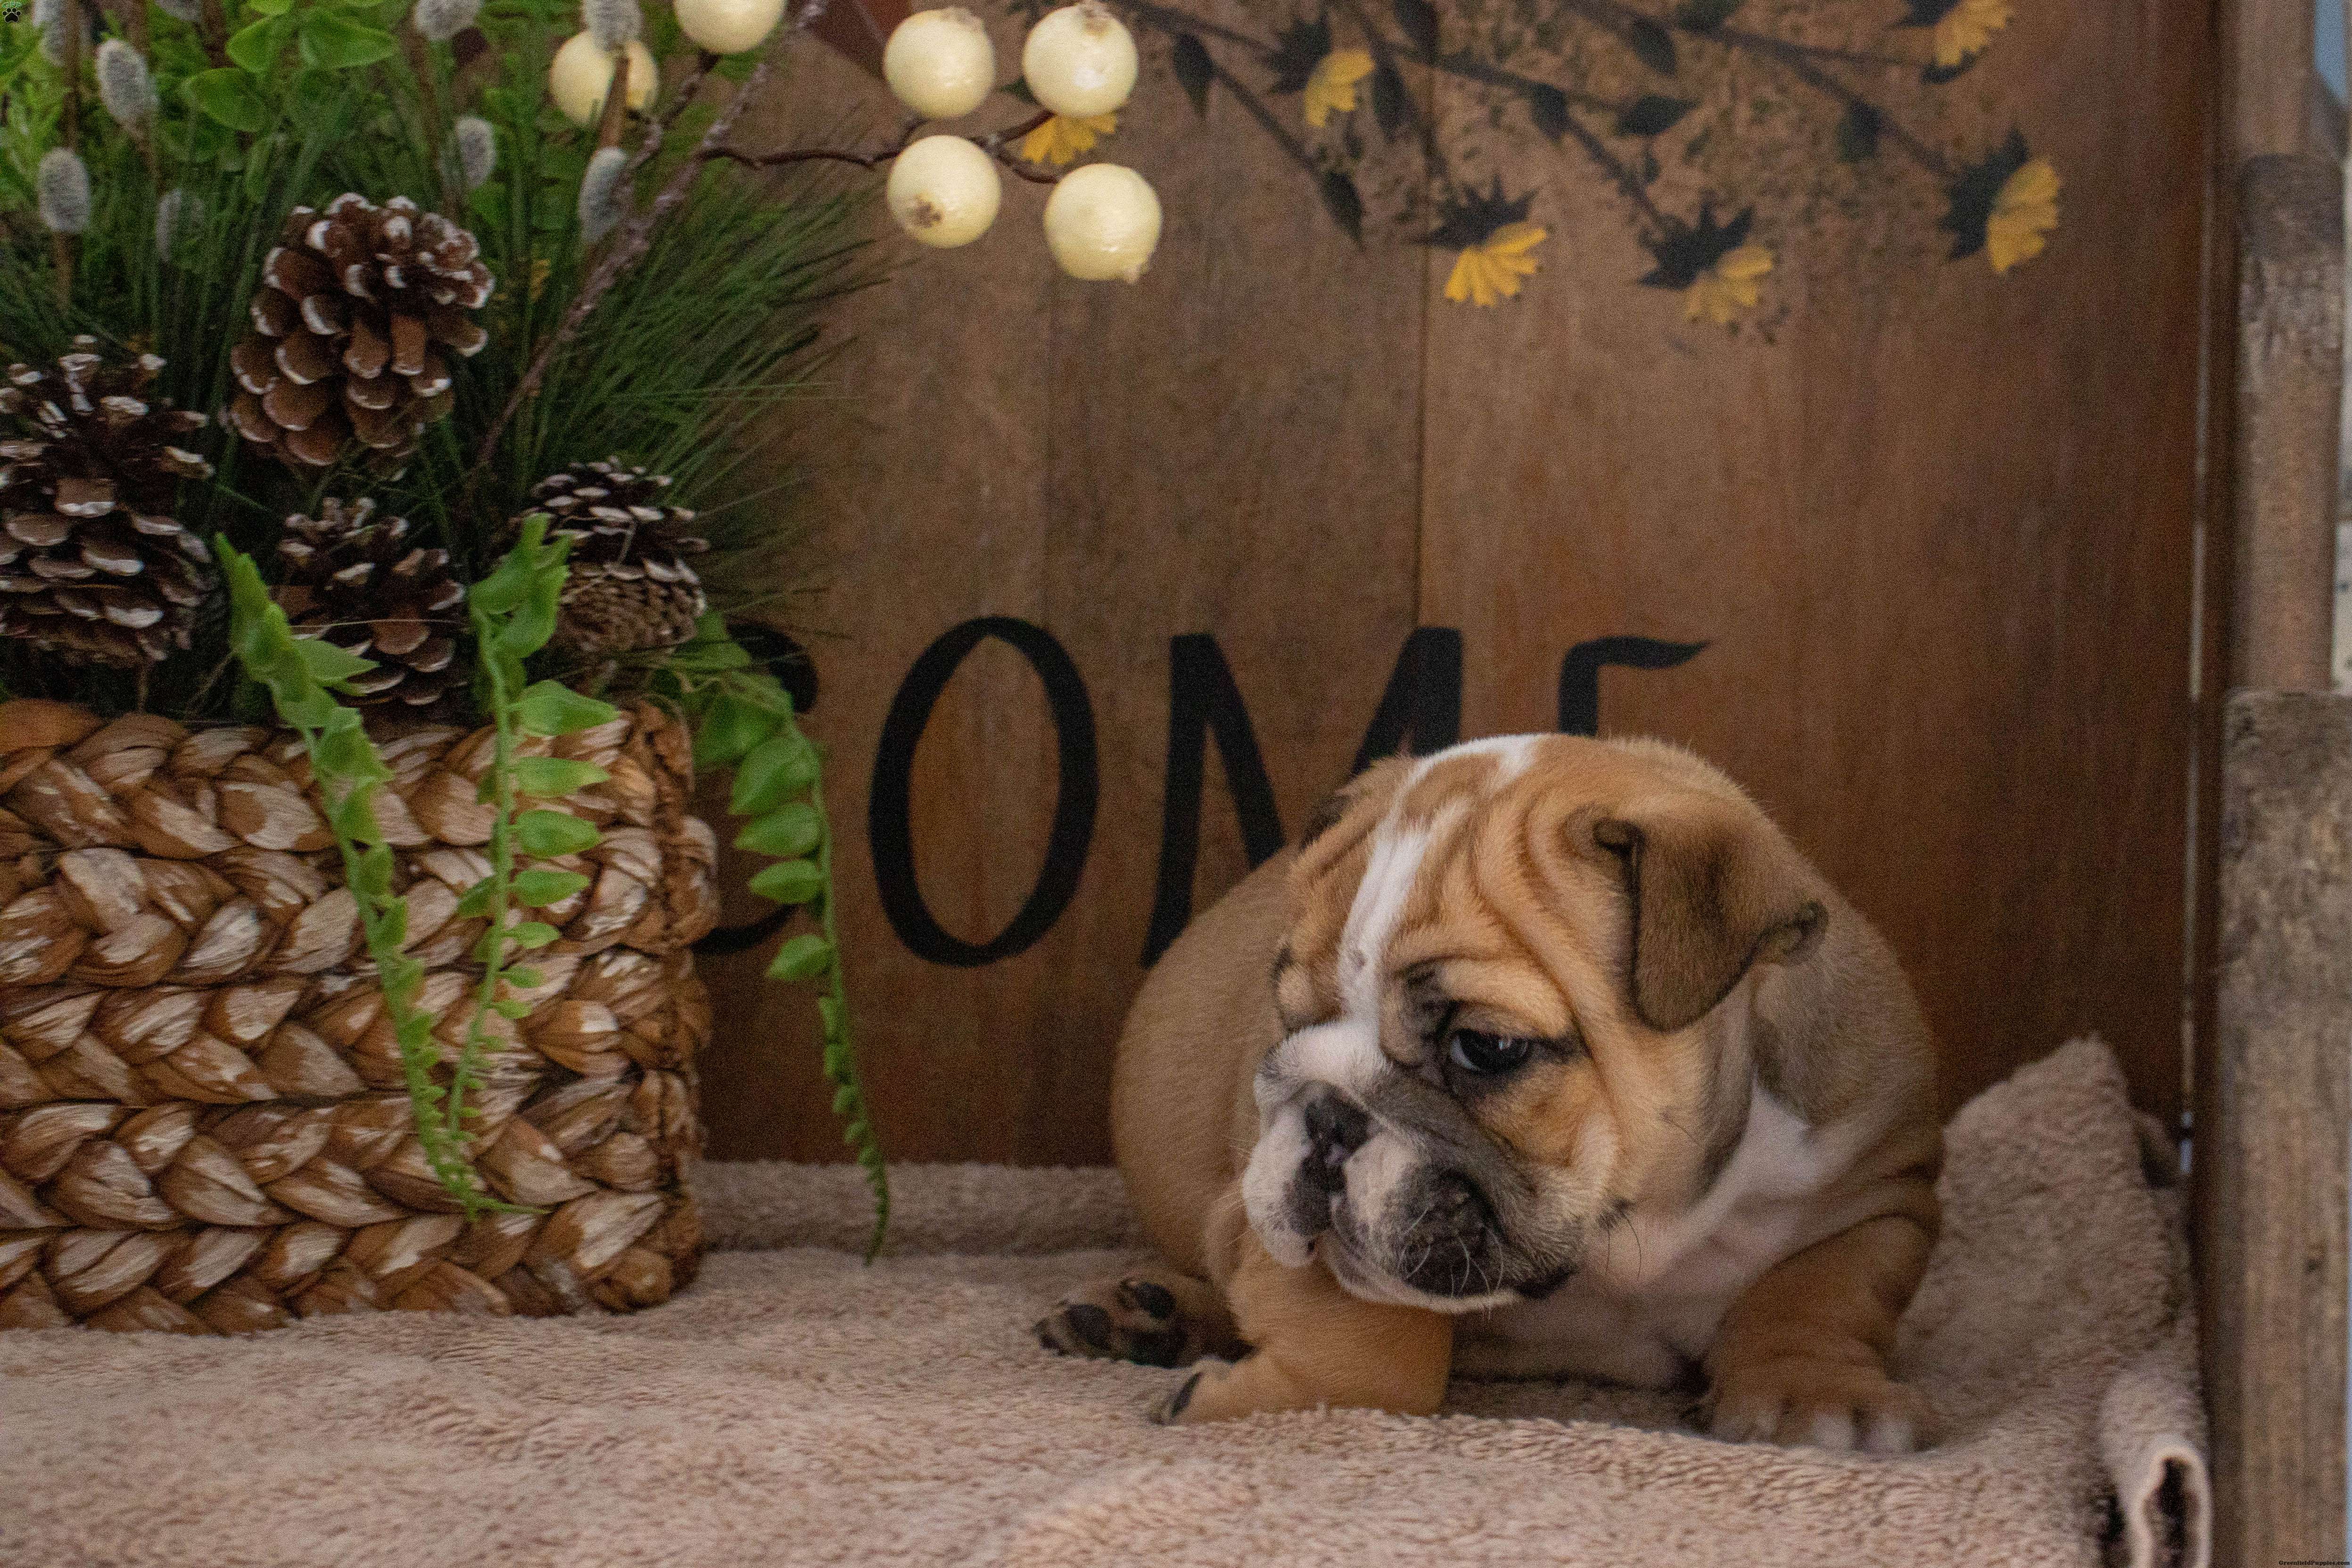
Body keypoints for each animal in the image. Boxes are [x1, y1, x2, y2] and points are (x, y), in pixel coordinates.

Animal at [1035, 734, 1943, 1452]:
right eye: (1286, 1020)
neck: (1631, 1229)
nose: (1327, 1116)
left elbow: (1820, 1290)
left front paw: (1814, 1397)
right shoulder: (1276, 1217)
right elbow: (1370, 1345)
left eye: (1486, 1048)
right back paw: (1141, 1310)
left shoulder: (1876, 1187)